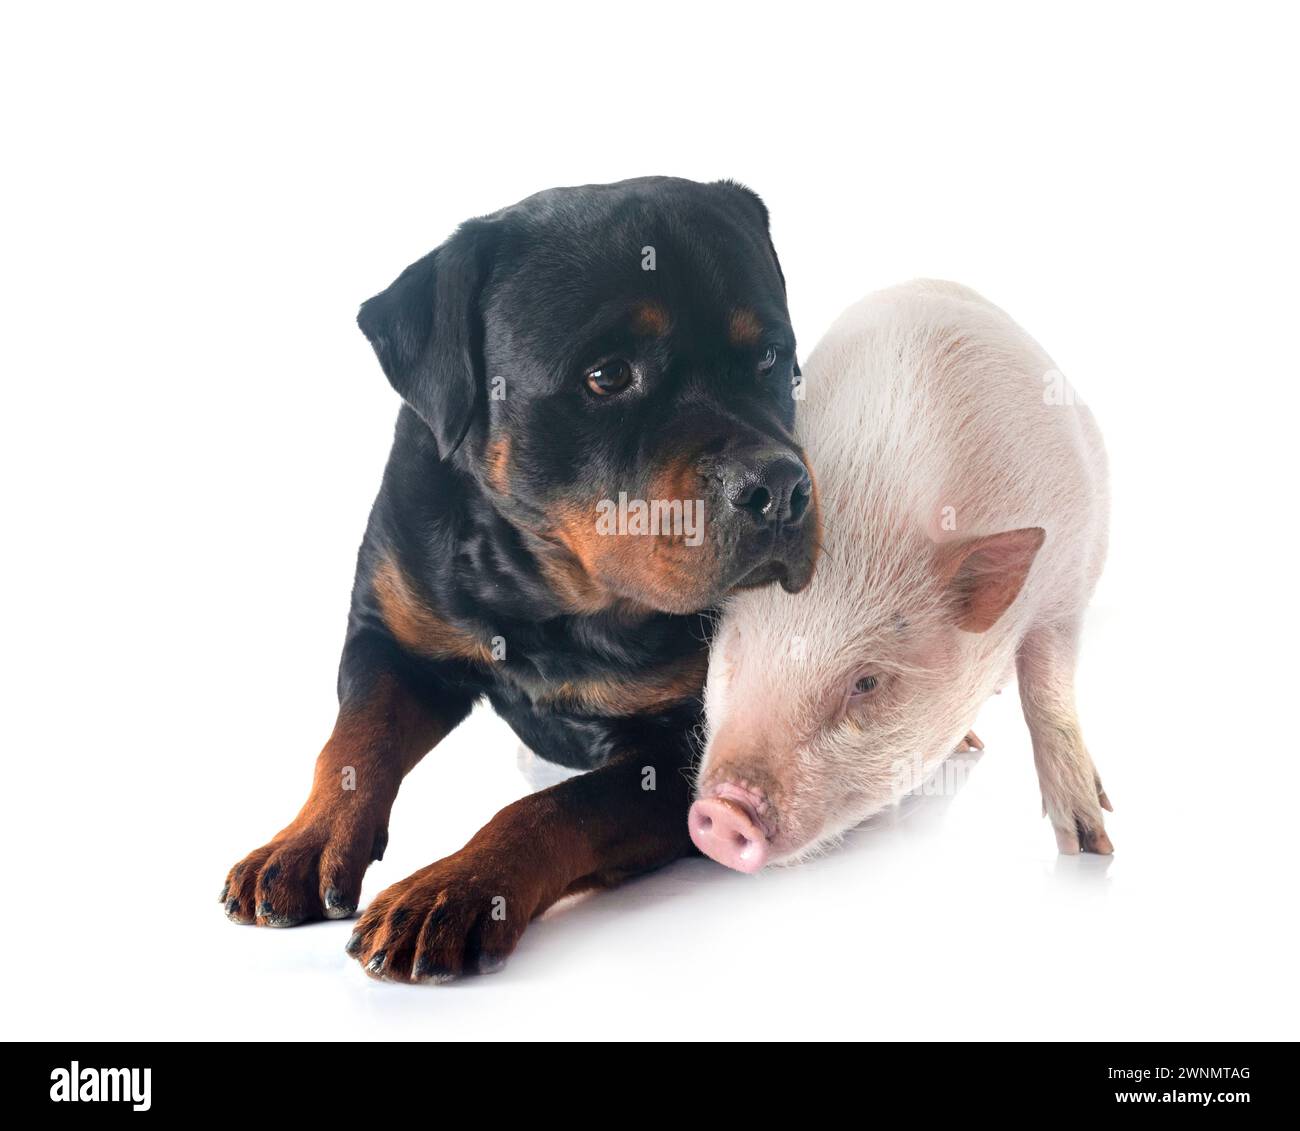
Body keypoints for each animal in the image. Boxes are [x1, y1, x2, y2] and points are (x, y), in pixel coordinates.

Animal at [218, 176, 816, 982]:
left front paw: (457, 887)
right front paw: (303, 843)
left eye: (771, 359)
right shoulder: (390, 635)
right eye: (608, 375)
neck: (544, 585)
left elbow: (559, 806)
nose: (780, 486)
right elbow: (352, 740)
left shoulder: (685, 751)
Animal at [686, 279, 1112, 873]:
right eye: (739, 645)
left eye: (867, 682)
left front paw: (1090, 850)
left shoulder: (1065, 586)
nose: (724, 812)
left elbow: (1048, 694)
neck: (871, 499)